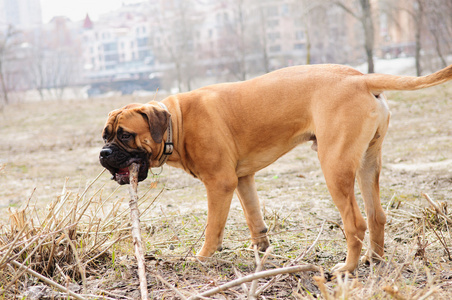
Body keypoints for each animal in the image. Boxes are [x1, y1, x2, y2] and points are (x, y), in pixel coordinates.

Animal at [100, 64, 452, 274]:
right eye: (105, 135)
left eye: (124, 135)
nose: (103, 153)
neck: (178, 122)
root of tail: (360, 76)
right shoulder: (242, 180)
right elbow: (254, 219)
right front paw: (262, 251)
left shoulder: (220, 183)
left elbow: (214, 227)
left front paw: (202, 257)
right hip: (368, 163)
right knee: (377, 215)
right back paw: (373, 261)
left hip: (335, 167)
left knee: (356, 222)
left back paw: (347, 268)